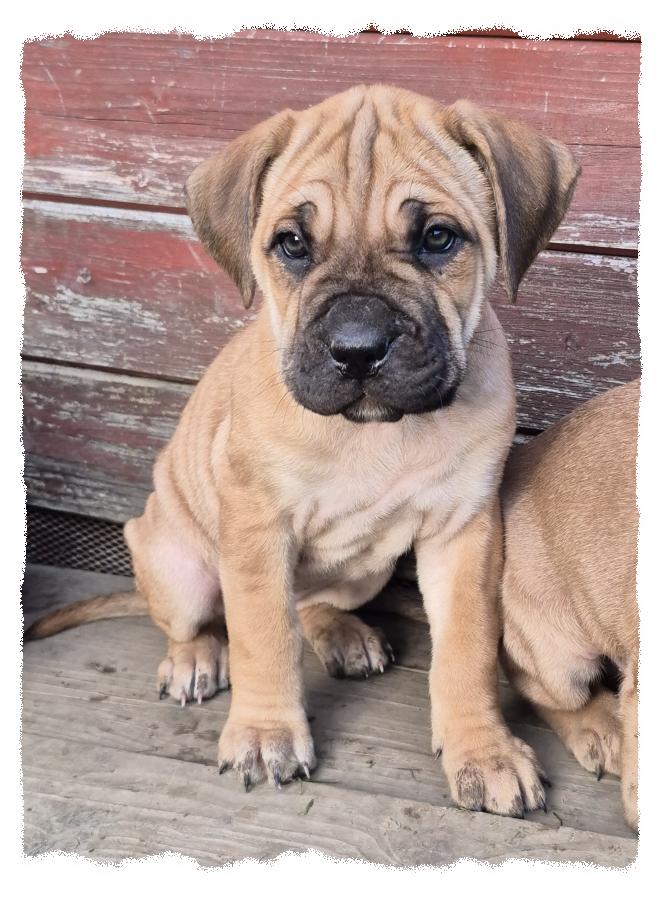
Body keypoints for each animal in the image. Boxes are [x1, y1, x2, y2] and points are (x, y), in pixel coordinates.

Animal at [25, 84, 579, 817]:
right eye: (291, 244)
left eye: (437, 238)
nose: (358, 348)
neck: (373, 431)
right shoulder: (258, 526)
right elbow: (263, 634)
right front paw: (265, 732)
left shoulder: (465, 530)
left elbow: (467, 646)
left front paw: (482, 749)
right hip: (173, 559)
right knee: (198, 621)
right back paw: (194, 658)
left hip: (365, 569)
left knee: (314, 602)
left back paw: (342, 634)